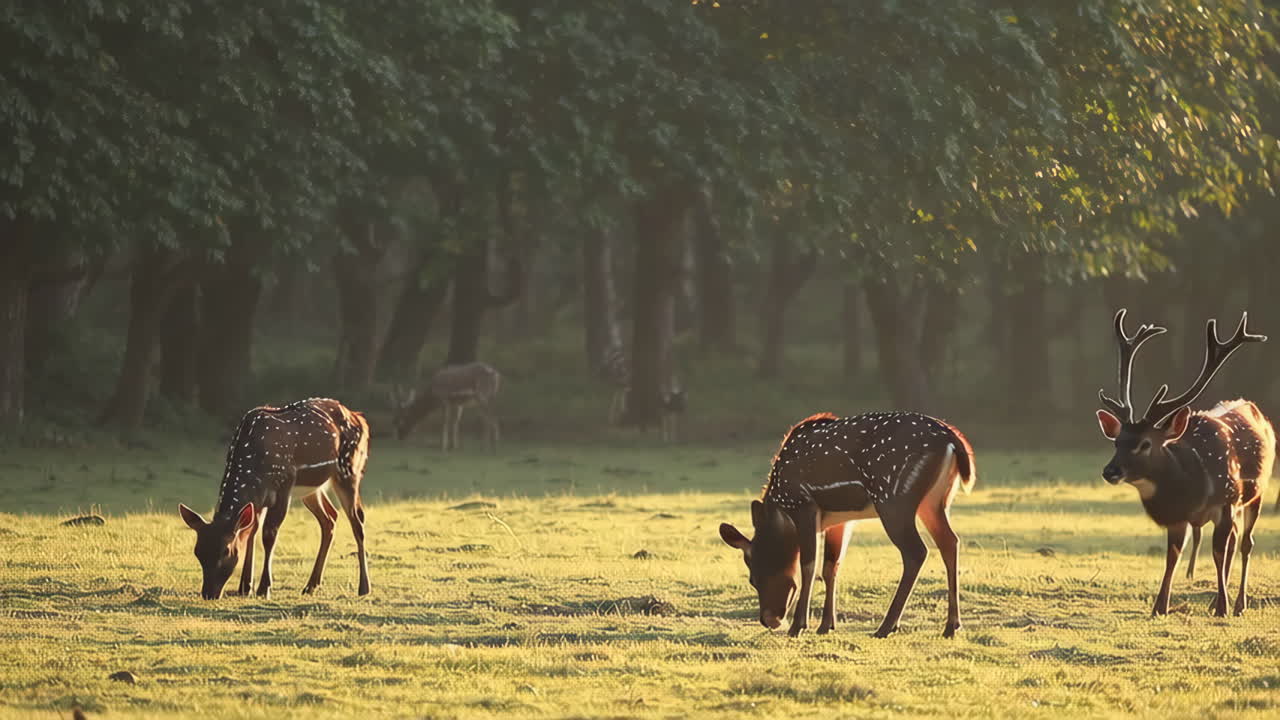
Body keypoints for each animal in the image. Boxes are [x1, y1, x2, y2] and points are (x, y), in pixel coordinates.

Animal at [178, 398, 372, 600]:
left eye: (227, 550)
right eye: (197, 552)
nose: (209, 593)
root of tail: (359, 418)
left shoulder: (283, 486)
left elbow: (268, 534)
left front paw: (264, 589)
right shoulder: (258, 499)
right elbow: (252, 531)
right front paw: (245, 587)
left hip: (349, 470)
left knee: (358, 521)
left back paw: (364, 588)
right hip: (311, 489)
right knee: (330, 517)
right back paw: (311, 585)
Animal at [720, 411, 975, 638]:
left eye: (754, 578)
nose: (769, 620)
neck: (780, 510)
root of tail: (953, 441)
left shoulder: (803, 505)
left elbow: (808, 564)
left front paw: (798, 627)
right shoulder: (840, 519)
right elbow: (831, 566)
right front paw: (826, 626)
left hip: (893, 499)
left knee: (917, 551)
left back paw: (886, 627)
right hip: (935, 502)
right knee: (950, 541)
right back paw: (951, 626)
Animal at [1095, 309, 1274, 617]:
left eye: (1145, 444)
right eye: (1117, 441)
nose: (1110, 471)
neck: (1195, 492)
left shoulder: (1226, 501)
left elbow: (1217, 552)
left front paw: (1223, 608)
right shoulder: (1178, 519)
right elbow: (1173, 557)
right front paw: (1159, 607)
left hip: (1255, 495)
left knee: (1245, 543)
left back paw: (1238, 603)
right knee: (1235, 540)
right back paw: (1218, 600)